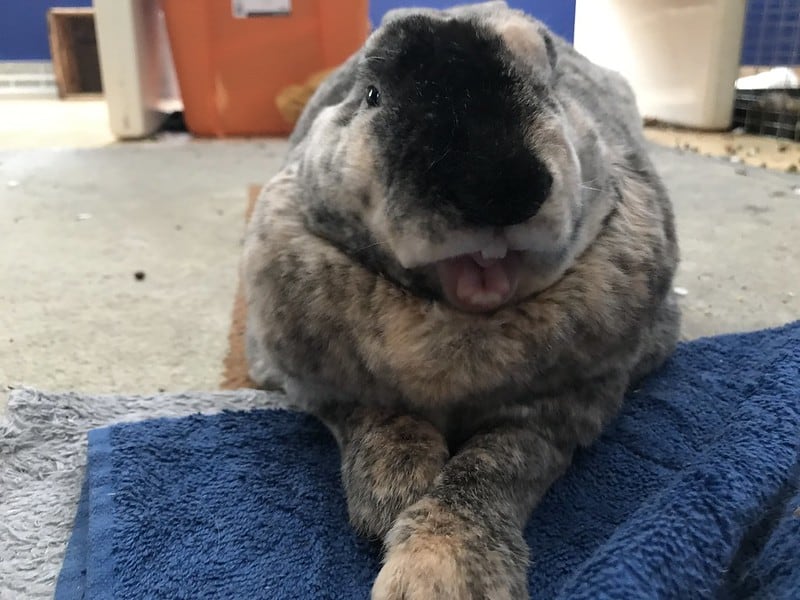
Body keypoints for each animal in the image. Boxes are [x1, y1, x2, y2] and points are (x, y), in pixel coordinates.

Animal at [242, 2, 680, 598]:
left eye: (549, 86)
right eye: (372, 94)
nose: (501, 186)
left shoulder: (562, 412)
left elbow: (493, 466)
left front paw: (439, 574)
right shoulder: (316, 383)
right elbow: (378, 416)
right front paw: (395, 494)